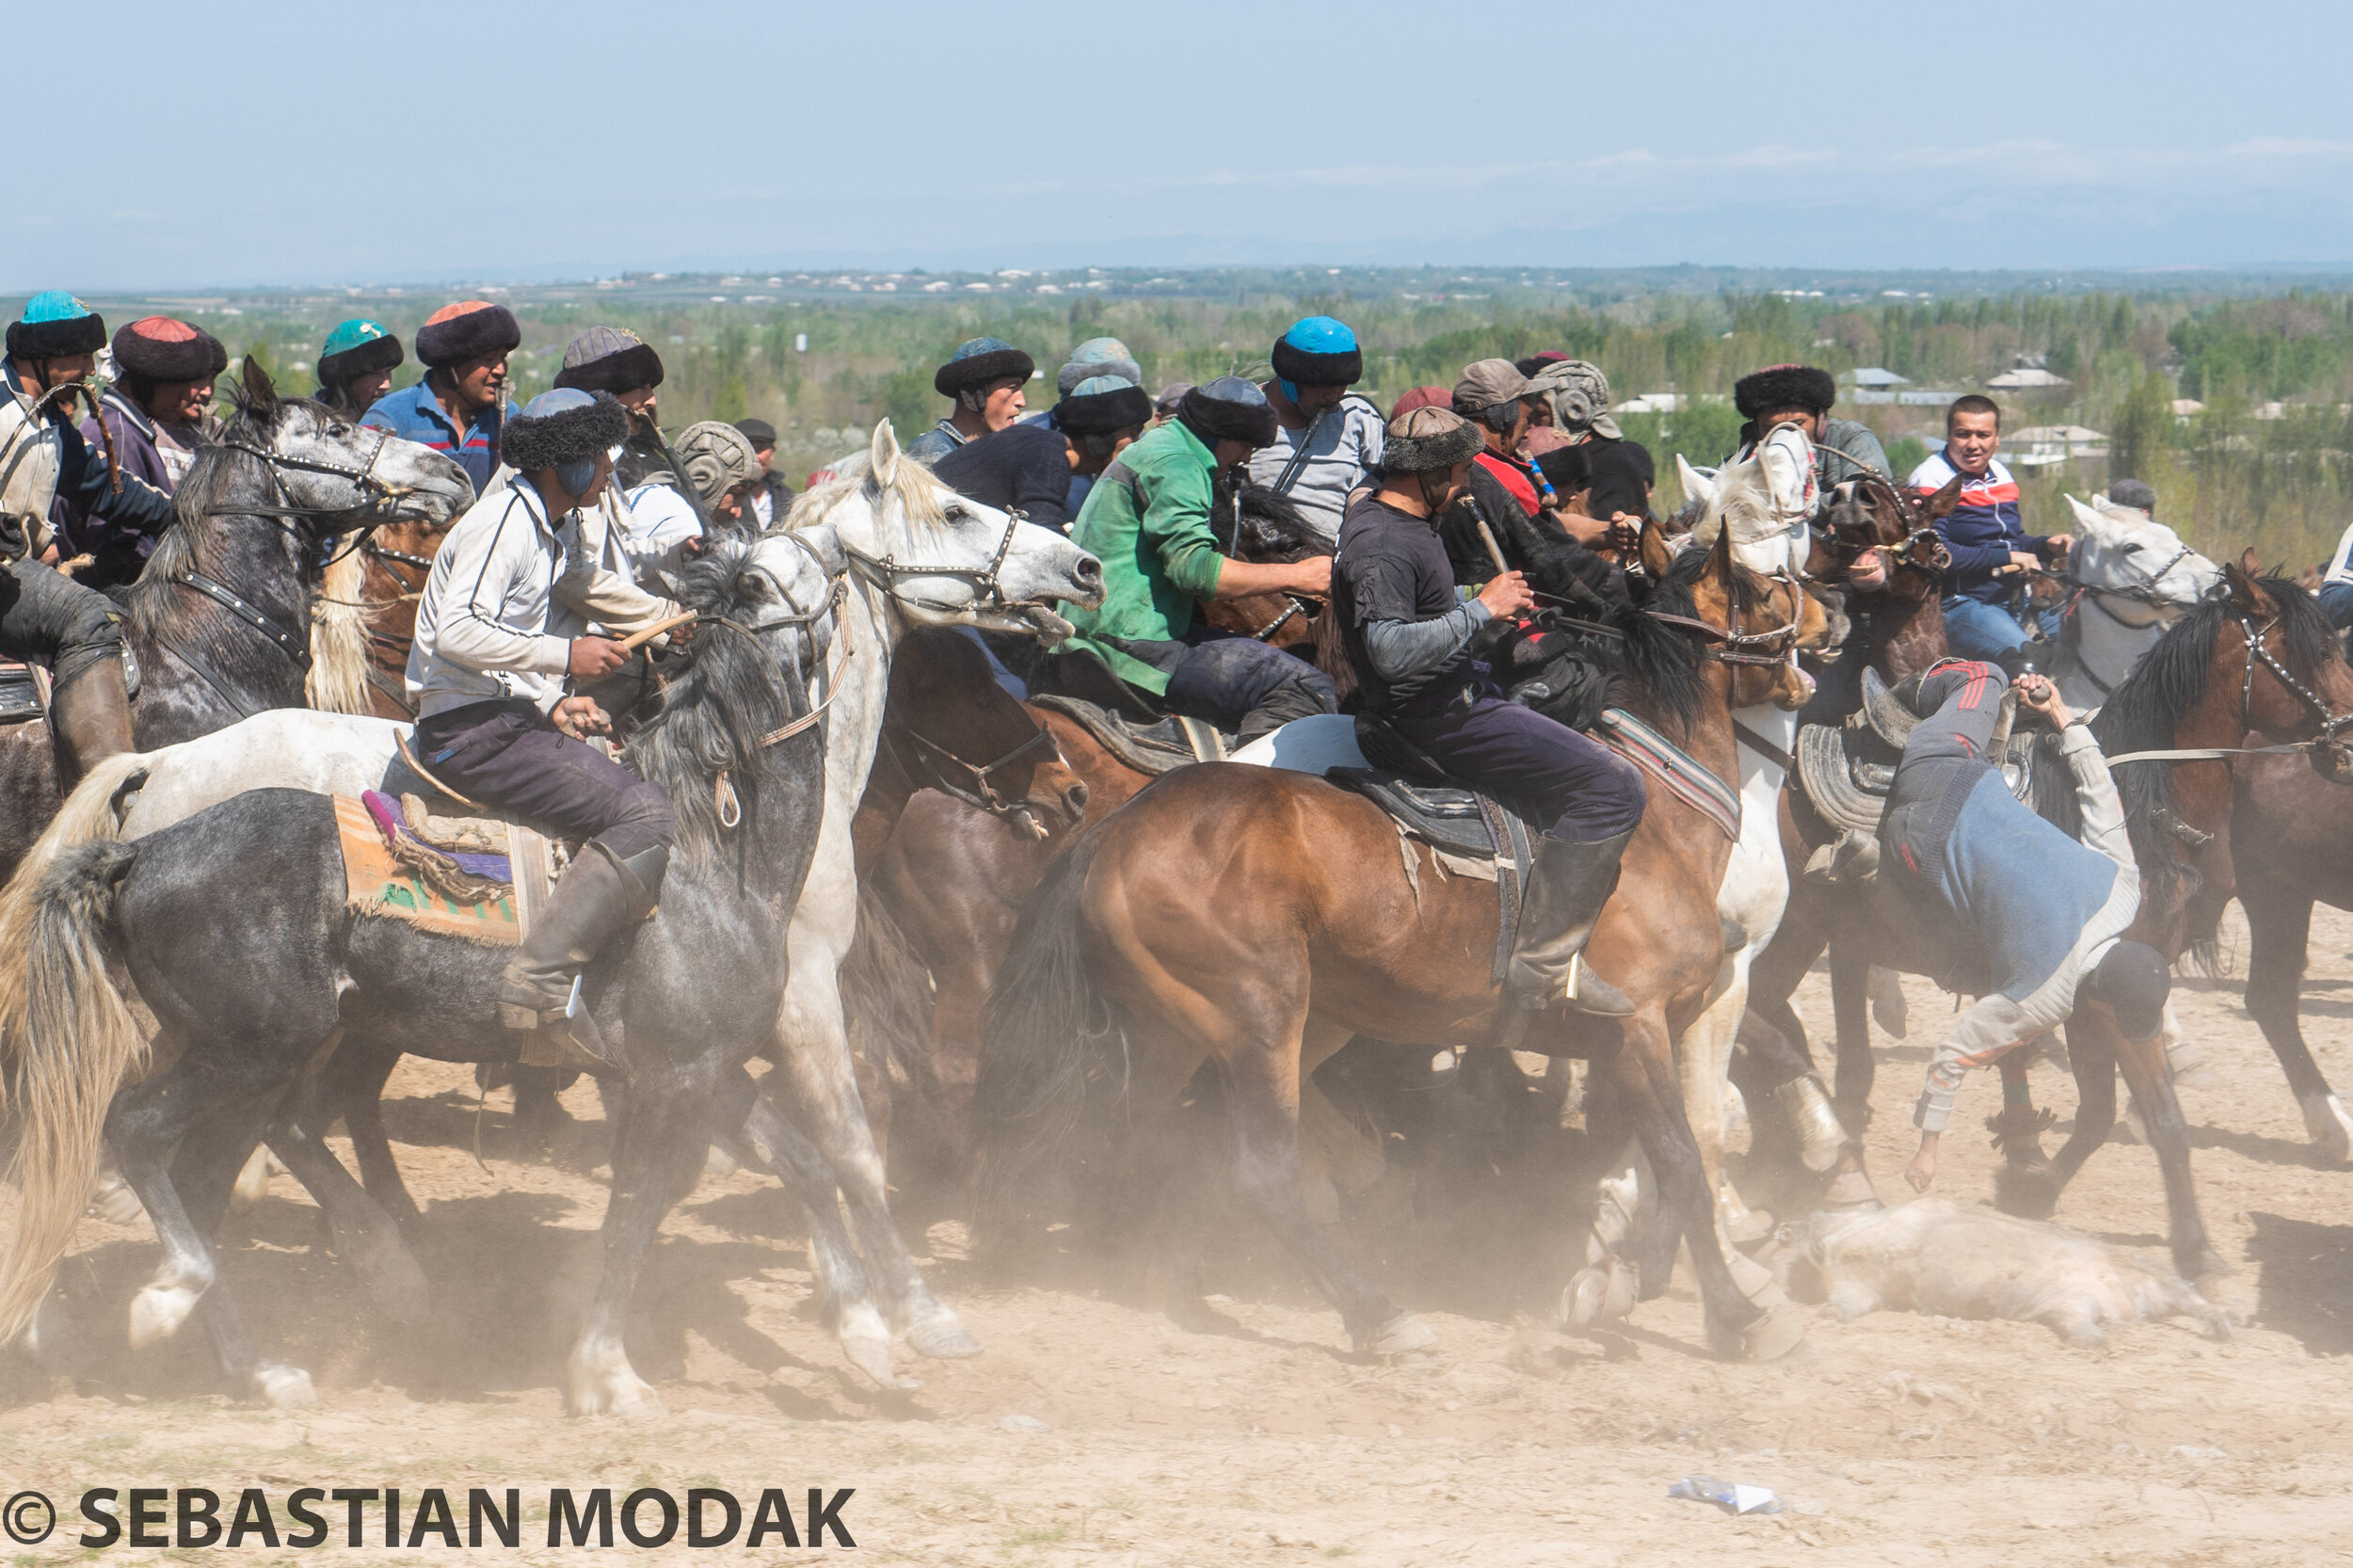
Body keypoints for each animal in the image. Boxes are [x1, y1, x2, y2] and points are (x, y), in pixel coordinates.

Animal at [8, 419, 1101, 1393]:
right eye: (955, 508)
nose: (1083, 570)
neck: (725, 831)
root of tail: (151, 774)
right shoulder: (789, 1006)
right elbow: (840, 1152)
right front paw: (919, 1312)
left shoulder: (713, 1051)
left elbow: (776, 1159)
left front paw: (862, 1318)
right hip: (259, 1034)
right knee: (182, 1122)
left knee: (256, 1126)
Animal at [974, 522, 1817, 1355]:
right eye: (1767, 586)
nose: (1828, 622)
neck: (1659, 824)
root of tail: (1117, 827)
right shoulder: (1636, 1027)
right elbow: (1681, 1163)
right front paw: (1656, 1293)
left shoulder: (1668, 1023)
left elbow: (1684, 1162)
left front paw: (1703, 1300)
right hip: (1257, 1018)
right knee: (1262, 1171)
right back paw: (1375, 1311)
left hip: (1195, 1031)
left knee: (1148, 1136)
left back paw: (1165, 1267)